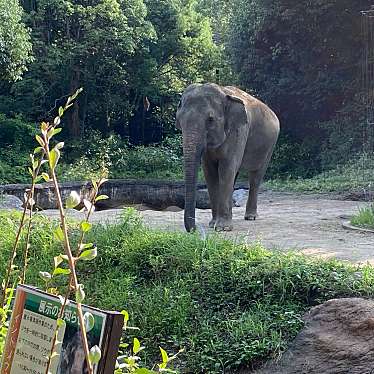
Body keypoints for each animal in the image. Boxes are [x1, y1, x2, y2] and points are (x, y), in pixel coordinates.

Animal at [176, 83, 280, 232]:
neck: (223, 92)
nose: (193, 229)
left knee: (256, 176)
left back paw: (250, 217)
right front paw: (213, 224)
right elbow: (210, 172)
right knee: (235, 176)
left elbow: (226, 167)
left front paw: (222, 228)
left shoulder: (239, 130)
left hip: (270, 145)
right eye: (179, 120)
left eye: (210, 120)